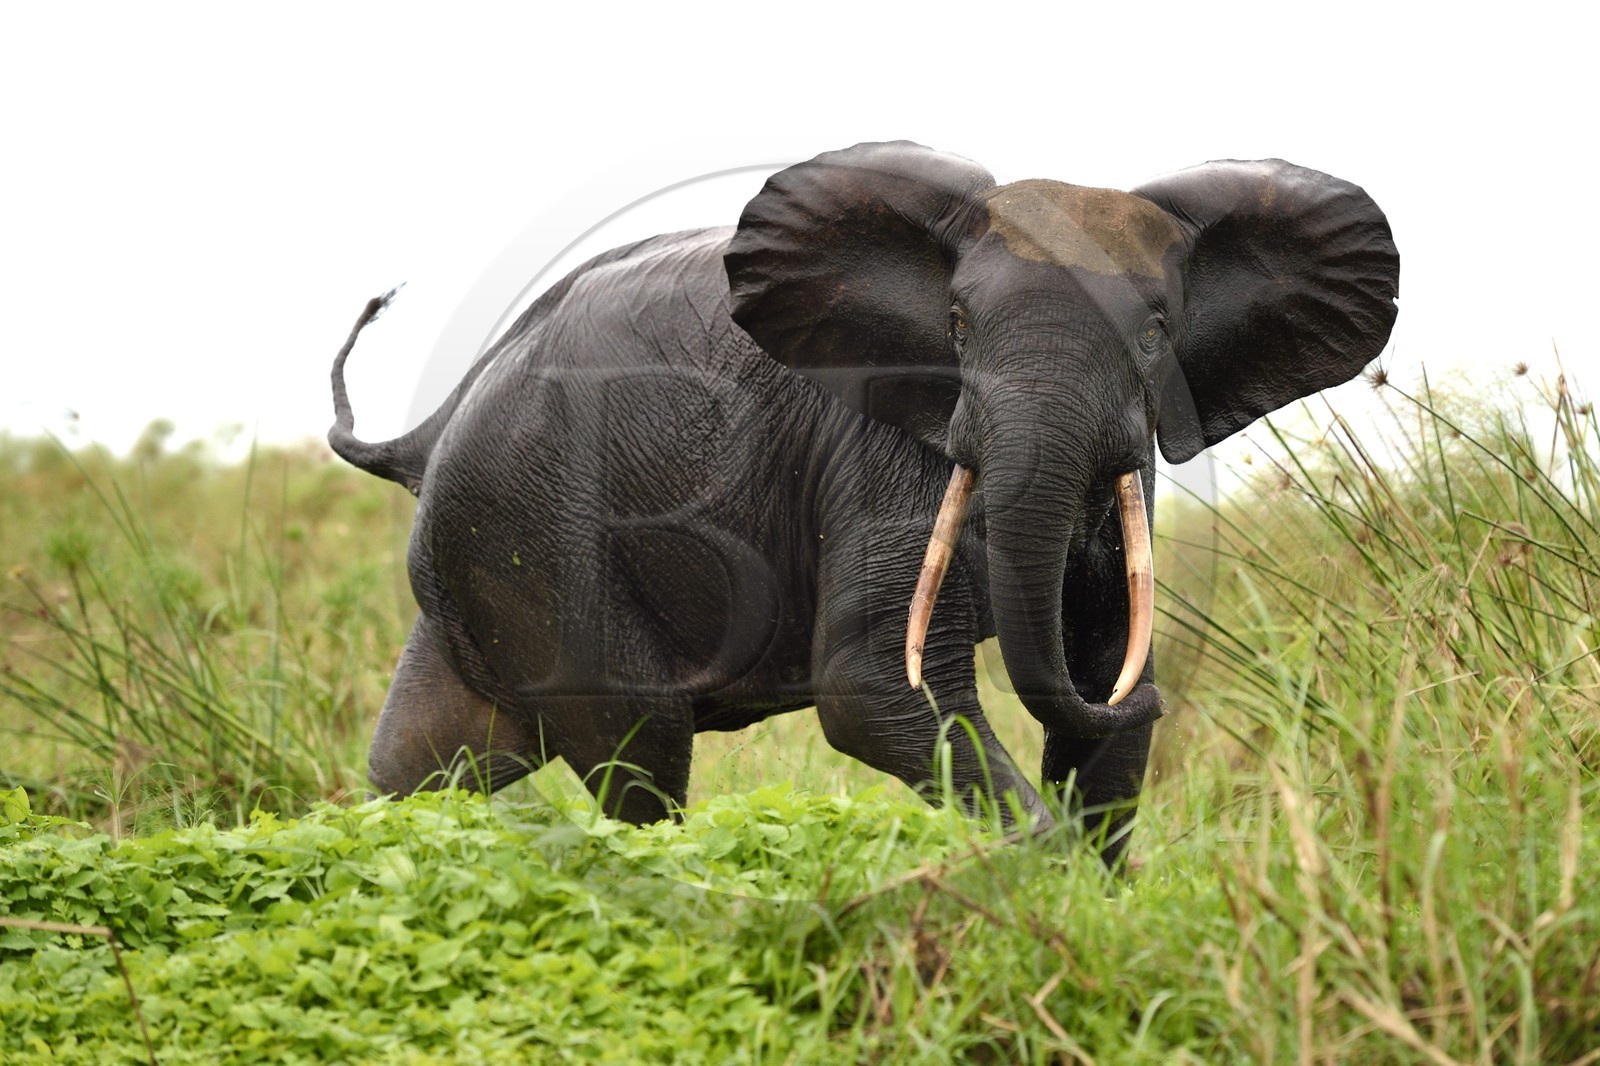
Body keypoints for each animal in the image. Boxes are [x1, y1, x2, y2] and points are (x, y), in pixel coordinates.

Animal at [329, 141, 1398, 862]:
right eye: (956, 327)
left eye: (1155, 332)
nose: (1163, 693)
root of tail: (429, 429)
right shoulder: (881, 453)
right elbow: (876, 689)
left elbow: (1100, 671)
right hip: (539, 539)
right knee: (639, 751)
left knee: (427, 763)